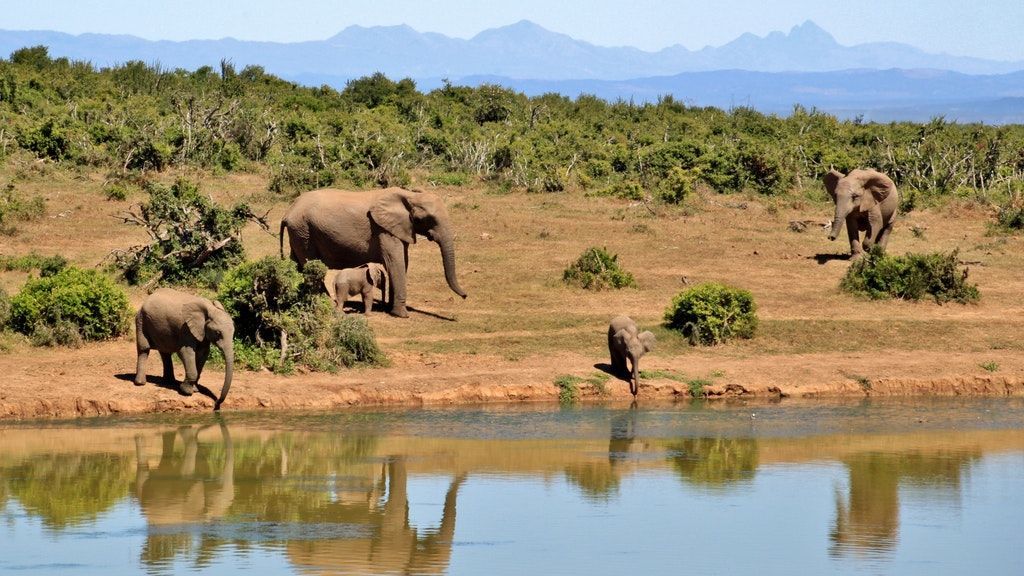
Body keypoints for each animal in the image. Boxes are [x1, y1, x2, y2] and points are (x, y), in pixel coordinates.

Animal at [282, 186, 468, 315]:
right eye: (426, 219)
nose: (465, 296)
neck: (408, 195)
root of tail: (288, 211)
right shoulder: (383, 230)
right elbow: (395, 263)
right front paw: (401, 315)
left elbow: (402, 263)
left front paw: (391, 309)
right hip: (304, 230)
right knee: (311, 266)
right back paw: (326, 302)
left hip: (299, 232)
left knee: (297, 264)